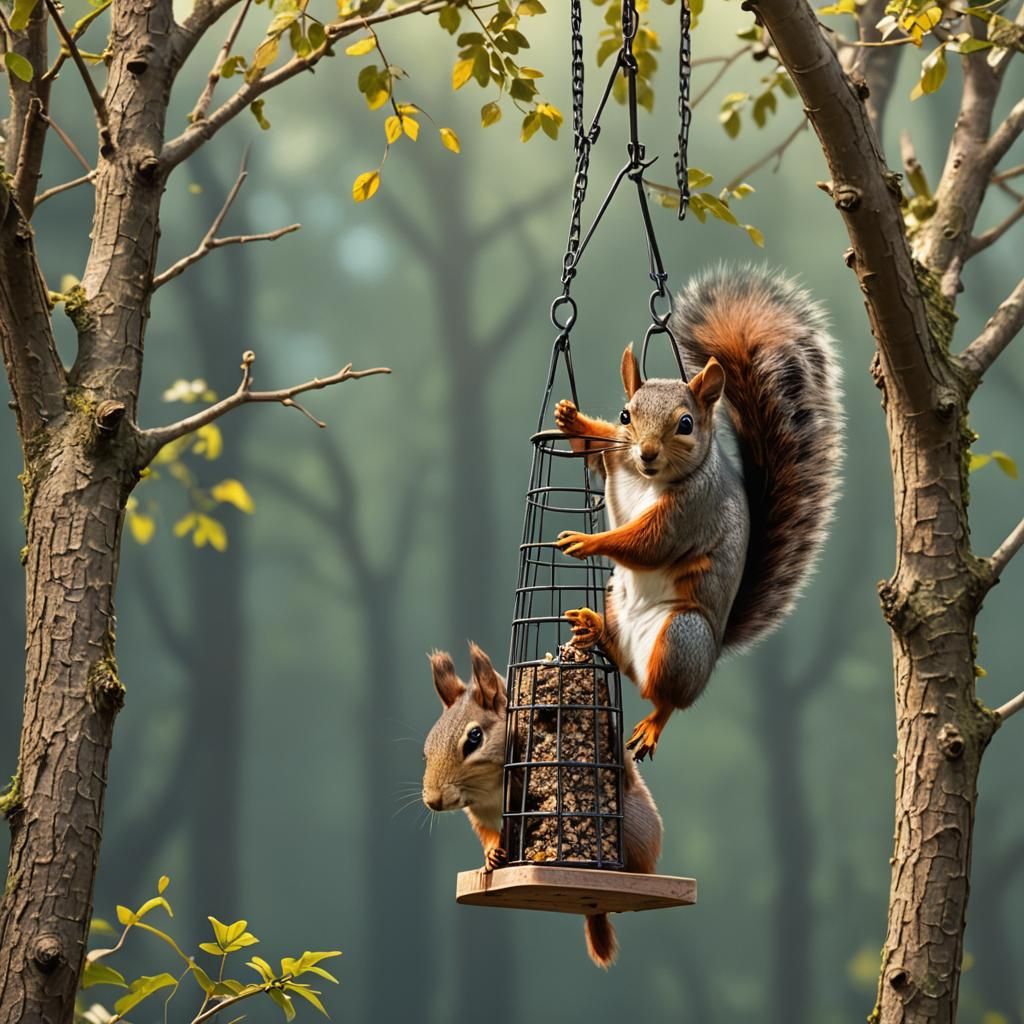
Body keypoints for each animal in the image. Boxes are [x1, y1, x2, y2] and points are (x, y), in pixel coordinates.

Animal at [422, 641, 663, 969]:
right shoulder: (480, 815)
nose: (433, 801)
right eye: (426, 750)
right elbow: (489, 835)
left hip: (636, 829)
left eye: (474, 738)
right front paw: (491, 857)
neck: (490, 790)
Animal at [553, 265, 843, 761]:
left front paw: (588, 542)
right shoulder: (616, 459)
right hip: (617, 602)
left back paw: (651, 725)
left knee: (666, 699)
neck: (648, 478)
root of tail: (714, 653)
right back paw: (594, 629)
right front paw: (574, 420)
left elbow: (649, 544)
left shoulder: (690, 510)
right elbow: (597, 450)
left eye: (685, 424)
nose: (647, 454)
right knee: (626, 663)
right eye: (625, 415)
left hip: (680, 638)